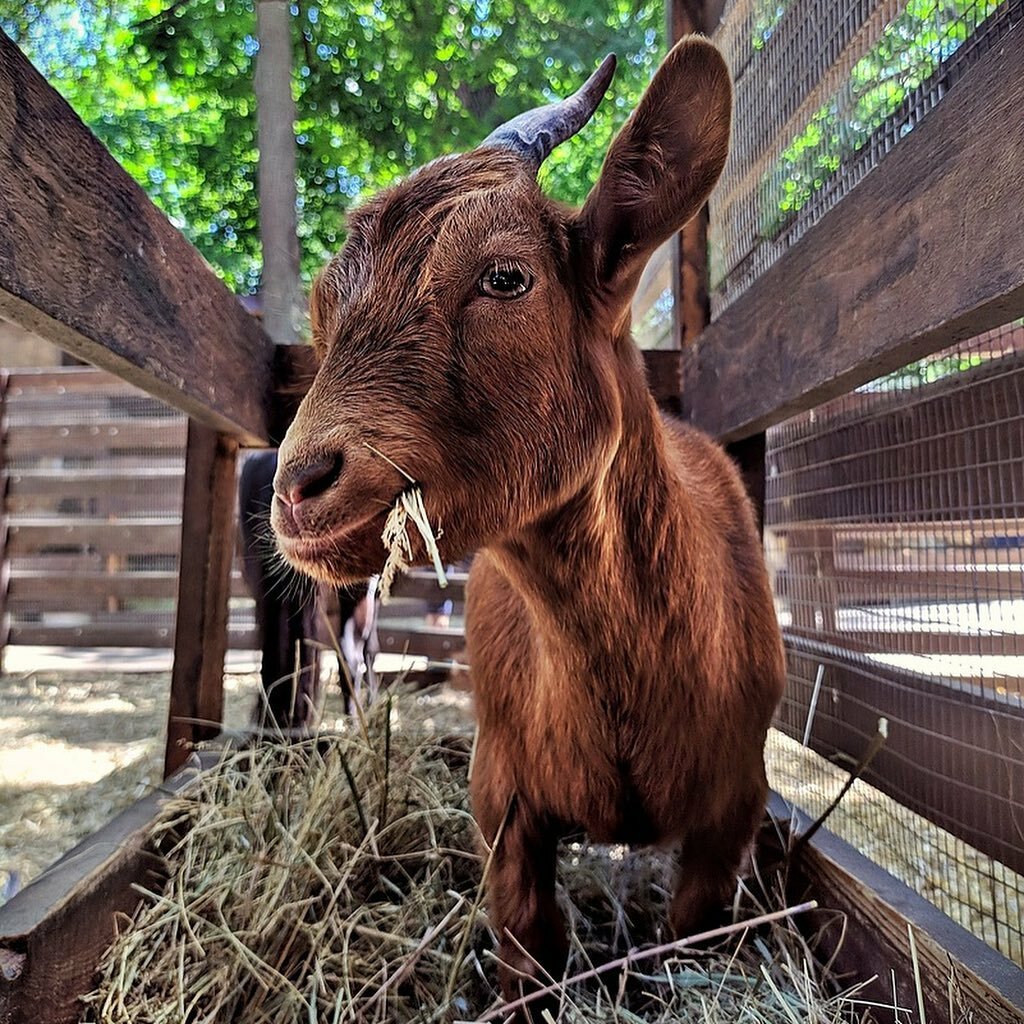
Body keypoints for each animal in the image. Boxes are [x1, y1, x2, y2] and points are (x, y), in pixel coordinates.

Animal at [270, 36, 782, 1019]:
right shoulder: (501, 801)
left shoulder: (731, 811)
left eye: (506, 277)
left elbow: (685, 943)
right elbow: (529, 945)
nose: (298, 487)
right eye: (324, 304)